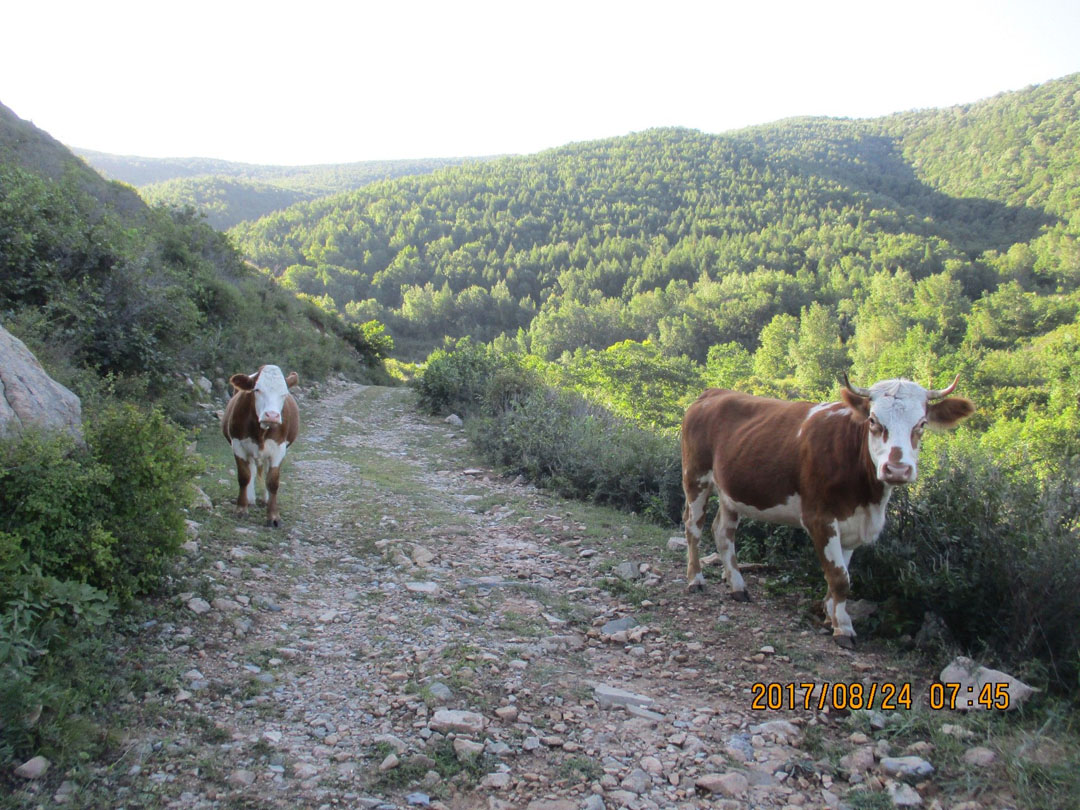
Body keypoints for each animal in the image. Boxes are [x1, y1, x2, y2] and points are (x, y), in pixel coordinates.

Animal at [221, 365, 300, 529]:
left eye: (284, 393)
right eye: (257, 390)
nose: (272, 415)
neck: (261, 432)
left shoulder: (278, 449)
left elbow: (273, 482)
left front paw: (274, 517)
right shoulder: (238, 445)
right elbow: (244, 477)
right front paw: (241, 509)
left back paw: (266, 499)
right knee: (251, 469)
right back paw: (250, 499)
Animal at [678, 373, 976, 648]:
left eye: (922, 424)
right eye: (873, 421)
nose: (897, 469)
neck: (868, 499)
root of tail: (713, 392)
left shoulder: (852, 525)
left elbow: (843, 573)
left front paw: (830, 613)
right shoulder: (819, 519)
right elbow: (840, 577)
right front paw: (843, 628)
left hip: (731, 492)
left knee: (723, 532)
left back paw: (738, 586)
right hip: (696, 476)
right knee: (694, 527)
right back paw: (696, 579)